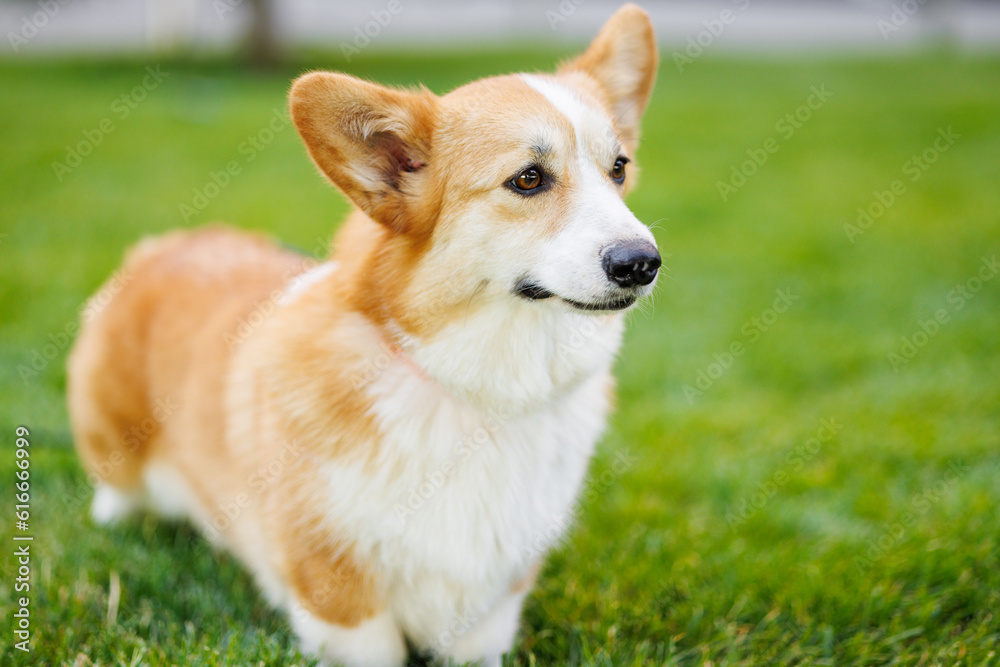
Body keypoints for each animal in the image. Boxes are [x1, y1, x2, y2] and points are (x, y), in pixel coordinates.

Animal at [70, 6, 660, 667]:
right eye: (529, 179)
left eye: (618, 169)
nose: (643, 263)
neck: (475, 391)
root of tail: (166, 246)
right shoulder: (336, 589)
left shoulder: (490, 606)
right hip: (111, 437)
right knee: (116, 489)